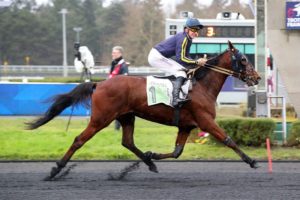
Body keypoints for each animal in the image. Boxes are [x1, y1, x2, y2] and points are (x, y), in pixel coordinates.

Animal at [27, 41, 262, 179]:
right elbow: (228, 140)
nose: (257, 77)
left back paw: (148, 162)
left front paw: (153, 154)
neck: (201, 86)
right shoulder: (205, 121)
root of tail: (99, 84)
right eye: (243, 59)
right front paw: (252, 161)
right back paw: (56, 169)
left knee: (128, 142)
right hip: (101, 118)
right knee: (79, 140)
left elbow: (177, 152)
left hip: (126, 117)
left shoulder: (186, 125)